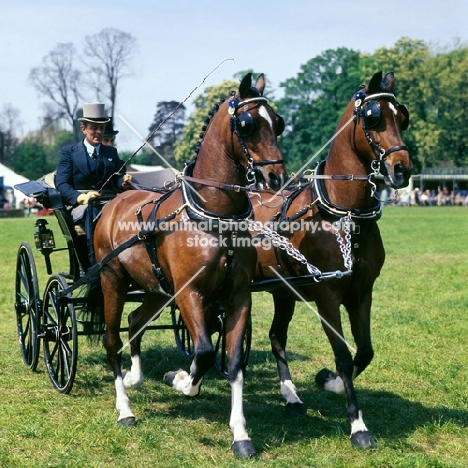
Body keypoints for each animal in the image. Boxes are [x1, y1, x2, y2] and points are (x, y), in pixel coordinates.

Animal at [92, 73, 286, 458]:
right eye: (248, 124)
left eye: (278, 122)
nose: (276, 177)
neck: (215, 215)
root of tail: (112, 202)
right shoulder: (189, 293)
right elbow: (205, 351)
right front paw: (181, 380)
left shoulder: (238, 297)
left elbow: (234, 363)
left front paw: (240, 434)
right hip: (112, 280)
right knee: (111, 340)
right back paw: (124, 409)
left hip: (155, 288)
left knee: (135, 322)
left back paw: (136, 377)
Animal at [250, 71, 412, 448]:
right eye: (373, 117)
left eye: (403, 117)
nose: (402, 170)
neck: (343, 215)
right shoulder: (327, 297)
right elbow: (342, 354)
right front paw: (358, 426)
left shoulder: (362, 292)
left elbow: (364, 351)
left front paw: (330, 382)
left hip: (284, 292)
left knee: (277, 336)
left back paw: (291, 398)